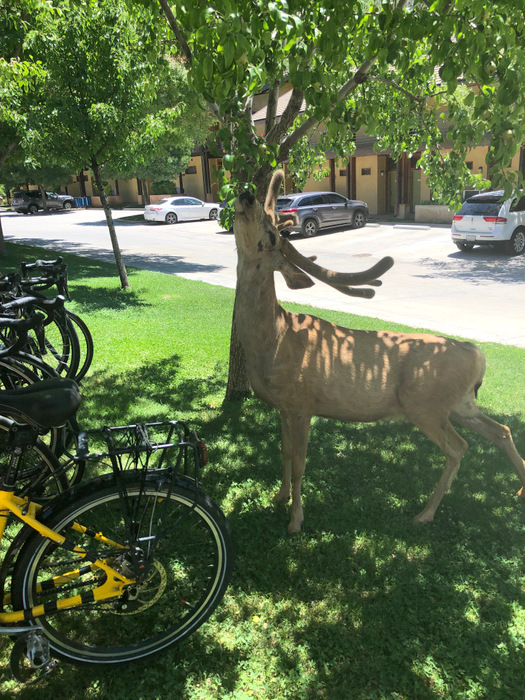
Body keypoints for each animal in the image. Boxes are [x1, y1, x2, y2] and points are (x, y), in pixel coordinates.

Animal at [232, 172, 524, 532]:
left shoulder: (302, 402)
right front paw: (279, 496)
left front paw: (295, 520)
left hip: (424, 403)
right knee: (502, 431)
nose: (246, 195)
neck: (274, 339)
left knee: (459, 448)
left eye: (272, 234)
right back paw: (520, 491)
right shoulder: (283, 407)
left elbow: (299, 462)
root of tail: (477, 356)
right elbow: (284, 453)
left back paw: (425, 513)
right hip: (460, 403)